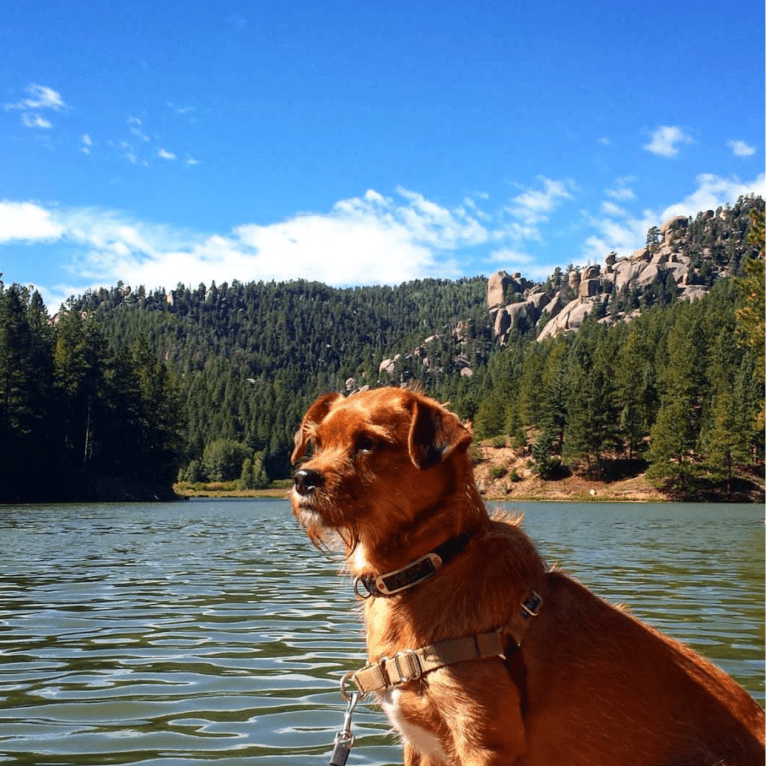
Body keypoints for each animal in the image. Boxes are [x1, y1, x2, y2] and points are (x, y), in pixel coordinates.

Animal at [292, 390, 764, 766]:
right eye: (316, 443)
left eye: (368, 443)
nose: (301, 478)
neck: (433, 566)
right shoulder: (423, 747)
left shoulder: (483, 744)